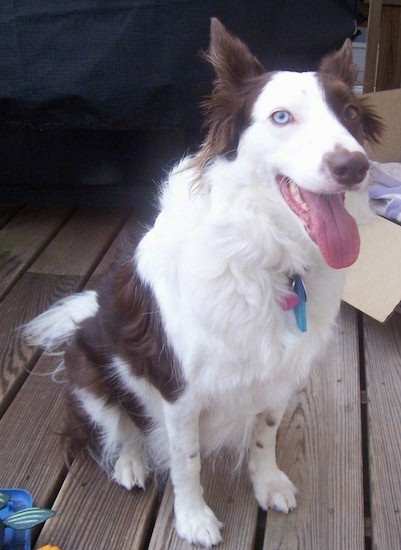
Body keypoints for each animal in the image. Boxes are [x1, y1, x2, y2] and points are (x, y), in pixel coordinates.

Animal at [25, 19, 382, 548]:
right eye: (281, 117)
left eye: (352, 112)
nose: (354, 167)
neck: (269, 257)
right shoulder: (178, 389)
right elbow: (185, 461)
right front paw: (193, 519)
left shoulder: (279, 375)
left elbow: (265, 434)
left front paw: (268, 482)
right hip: (87, 365)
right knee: (115, 425)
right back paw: (130, 462)